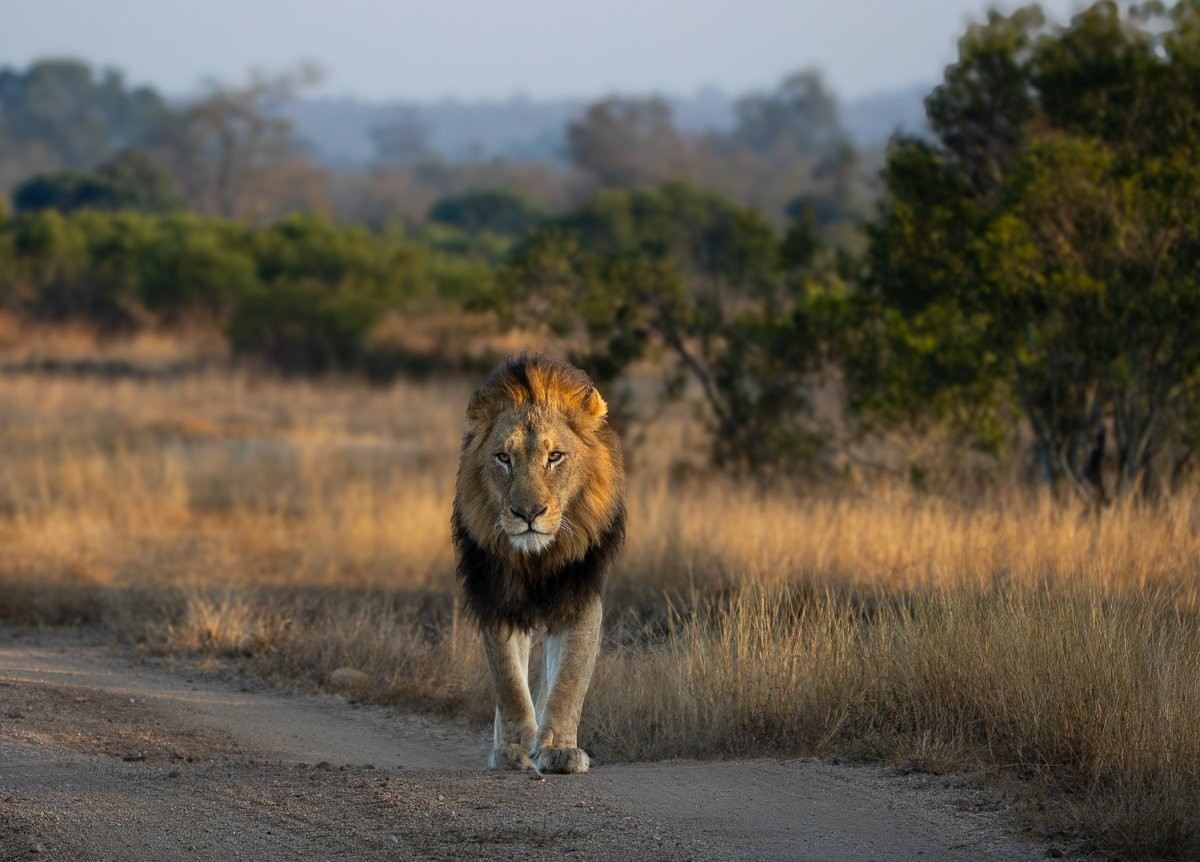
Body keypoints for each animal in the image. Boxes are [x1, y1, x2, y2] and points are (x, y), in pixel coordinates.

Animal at [451, 353, 625, 775]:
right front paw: (513, 749)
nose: (528, 513)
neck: (536, 558)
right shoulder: (497, 598)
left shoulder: (579, 596)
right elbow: (509, 683)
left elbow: (568, 681)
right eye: (503, 458)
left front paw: (558, 750)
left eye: (555, 457)